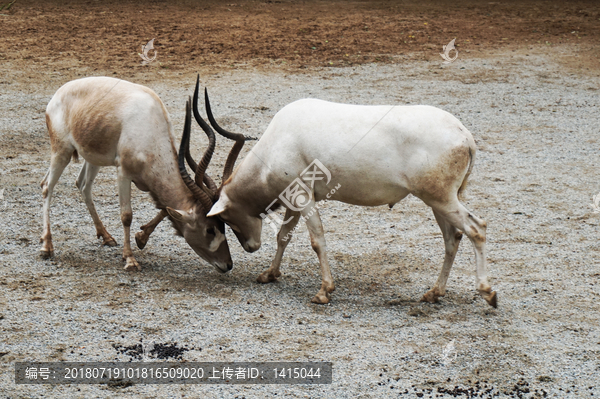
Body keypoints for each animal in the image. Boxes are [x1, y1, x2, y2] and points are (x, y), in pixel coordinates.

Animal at [39, 76, 237, 272]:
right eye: (209, 230)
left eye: (223, 225)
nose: (228, 264)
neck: (151, 125)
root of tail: (58, 94)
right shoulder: (124, 173)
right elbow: (127, 216)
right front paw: (130, 259)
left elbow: (164, 208)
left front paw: (141, 238)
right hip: (62, 150)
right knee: (47, 186)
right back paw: (46, 247)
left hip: (93, 157)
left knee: (82, 185)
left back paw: (106, 236)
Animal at [202, 94, 496, 310]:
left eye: (223, 218)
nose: (250, 247)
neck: (275, 143)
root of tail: (465, 136)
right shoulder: (294, 198)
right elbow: (284, 235)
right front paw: (269, 274)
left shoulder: (303, 196)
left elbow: (316, 240)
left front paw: (324, 291)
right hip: (438, 201)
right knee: (452, 237)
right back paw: (434, 293)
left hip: (440, 198)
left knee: (476, 228)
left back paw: (487, 292)